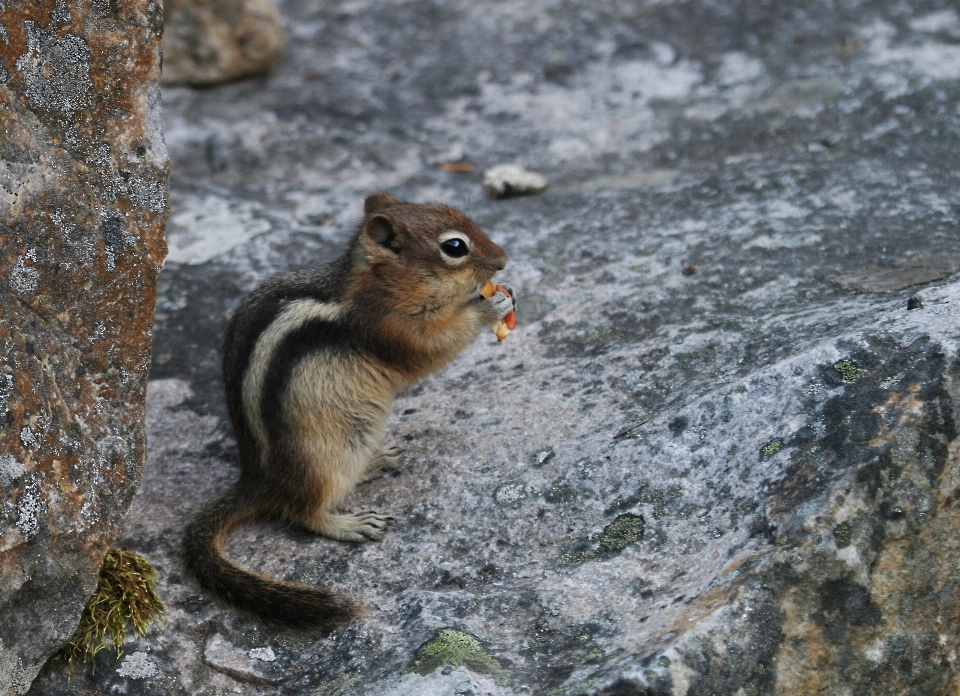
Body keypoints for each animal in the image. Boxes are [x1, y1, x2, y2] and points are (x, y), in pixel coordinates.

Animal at [181, 190, 516, 632]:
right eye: (455, 247)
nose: (502, 259)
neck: (378, 282)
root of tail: (259, 481)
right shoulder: (389, 326)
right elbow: (431, 346)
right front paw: (487, 306)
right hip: (325, 458)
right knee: (302, 512)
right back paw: (348, 523)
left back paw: (377, 459)